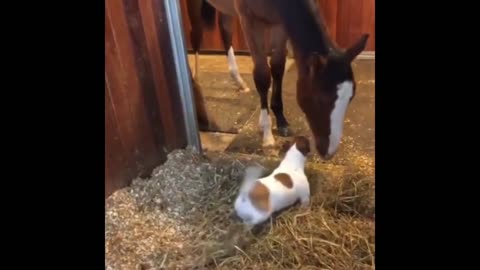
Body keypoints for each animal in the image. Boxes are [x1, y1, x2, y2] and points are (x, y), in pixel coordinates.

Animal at [198, 0, 368, 159]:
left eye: (350, 97)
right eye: (320, 99)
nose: (328, 152)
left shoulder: (279, 25)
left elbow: (277, 68)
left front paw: (281, 121)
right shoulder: (249, 21)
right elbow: (262, 76)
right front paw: (267, 133)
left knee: (225, 31)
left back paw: (239, 82)